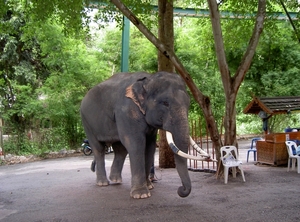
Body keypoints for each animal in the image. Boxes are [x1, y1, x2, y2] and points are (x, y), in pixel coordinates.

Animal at [79, 71, 211, 199]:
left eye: (188, 103)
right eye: (165, 103)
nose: (180, 190)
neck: (148, 79)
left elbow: (150, 146)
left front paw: (149, 187)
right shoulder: (127, 111)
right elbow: (136, 144)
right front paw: (141, 194)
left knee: (120, 150)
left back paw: (116, 180)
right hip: (86, 122)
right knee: (98, 149)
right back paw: (103, 183)